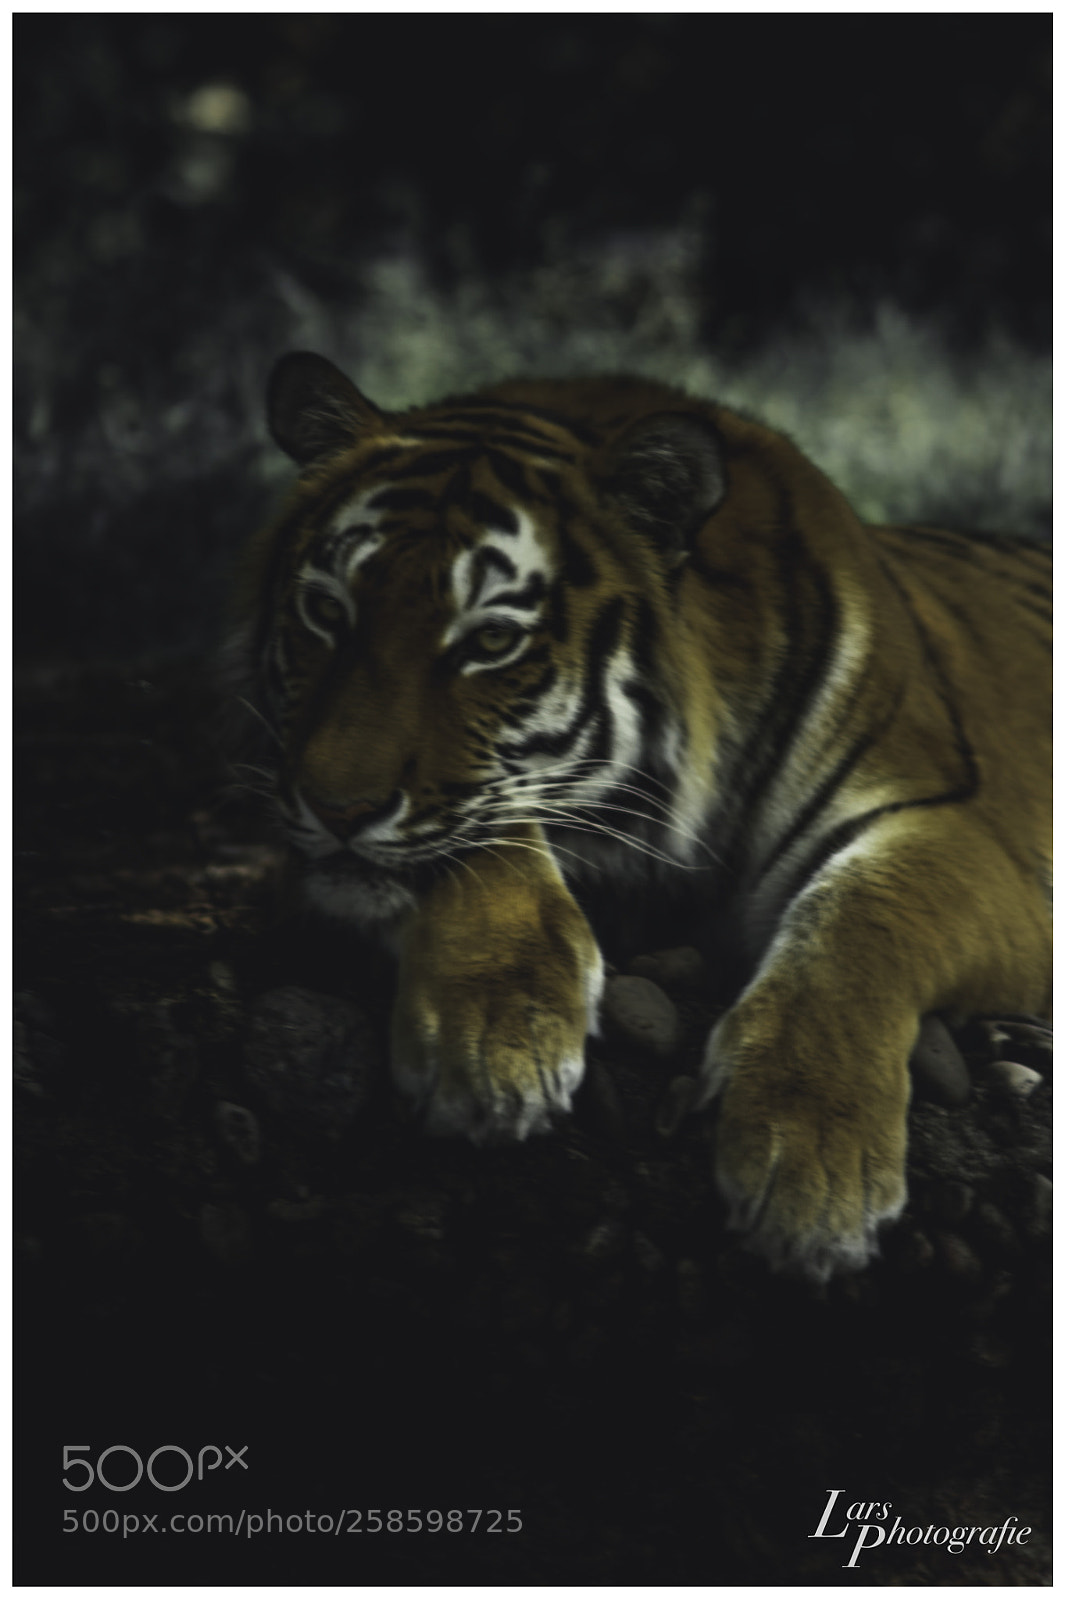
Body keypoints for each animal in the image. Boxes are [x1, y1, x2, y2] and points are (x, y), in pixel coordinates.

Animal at [226, 350, 1052, 1281]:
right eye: (327, 612)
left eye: (490, 642)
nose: (335, 808)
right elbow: (490, 829)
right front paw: (494, 1039)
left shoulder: (958, 825)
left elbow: (865, 919)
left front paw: (810, 1169)